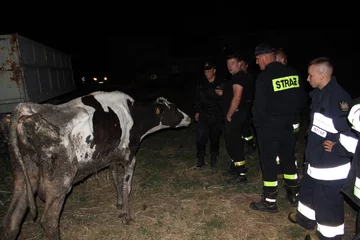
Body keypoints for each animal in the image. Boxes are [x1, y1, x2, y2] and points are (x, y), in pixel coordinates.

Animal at [0, 90, 193, 240]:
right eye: (173, 108)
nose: (189, 118)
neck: (132, 114)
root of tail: (26, 108)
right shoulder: (130, 156)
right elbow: (126, 186)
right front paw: (127, 216)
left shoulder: (112, 158)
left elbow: (116, 181)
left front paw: (119, 205)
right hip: (61, 180)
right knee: (49, 221)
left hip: (23, 175)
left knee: (11, 221)